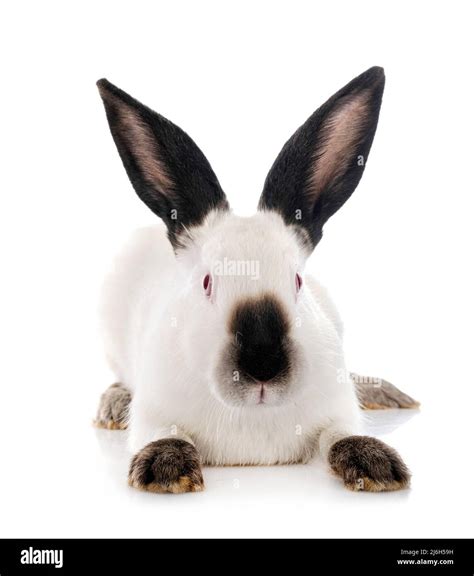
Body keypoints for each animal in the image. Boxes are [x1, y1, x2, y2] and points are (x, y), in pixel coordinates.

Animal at [94, 65, 416, 492]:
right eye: (207, 282)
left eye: (297, 281)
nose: (262, 365)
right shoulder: (153, 415)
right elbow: (165, 434)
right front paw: (165, 471)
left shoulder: (336, 412)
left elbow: (342, 434)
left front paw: (378, 466)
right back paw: (113, 406)